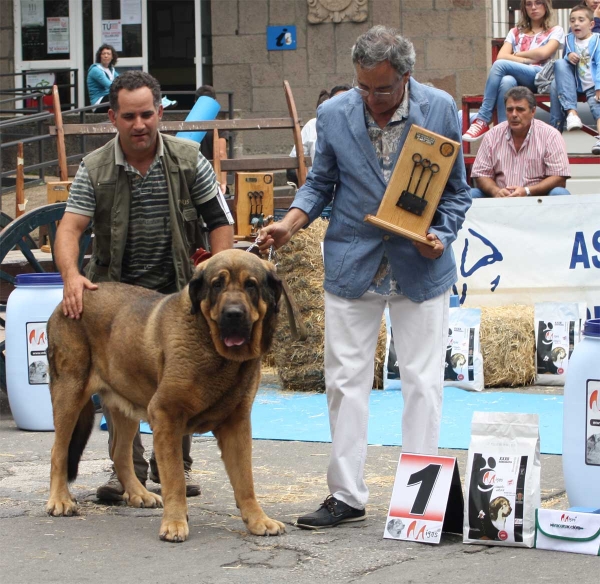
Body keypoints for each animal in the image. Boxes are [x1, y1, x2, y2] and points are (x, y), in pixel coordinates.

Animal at [45, 249, 284, 540]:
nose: (233, 314)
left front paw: (258, 520)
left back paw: (139, 494)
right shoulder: (166, 416)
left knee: (120, 453)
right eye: (217, 284)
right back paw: (60, 500)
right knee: (59, 451)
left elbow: (245, 480)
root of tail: (66, 300)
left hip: (125, 405)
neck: (215, 350)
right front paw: (174, 523)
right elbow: (175, 479)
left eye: (251, 285)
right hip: (69, 393)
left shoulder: (236, 424)